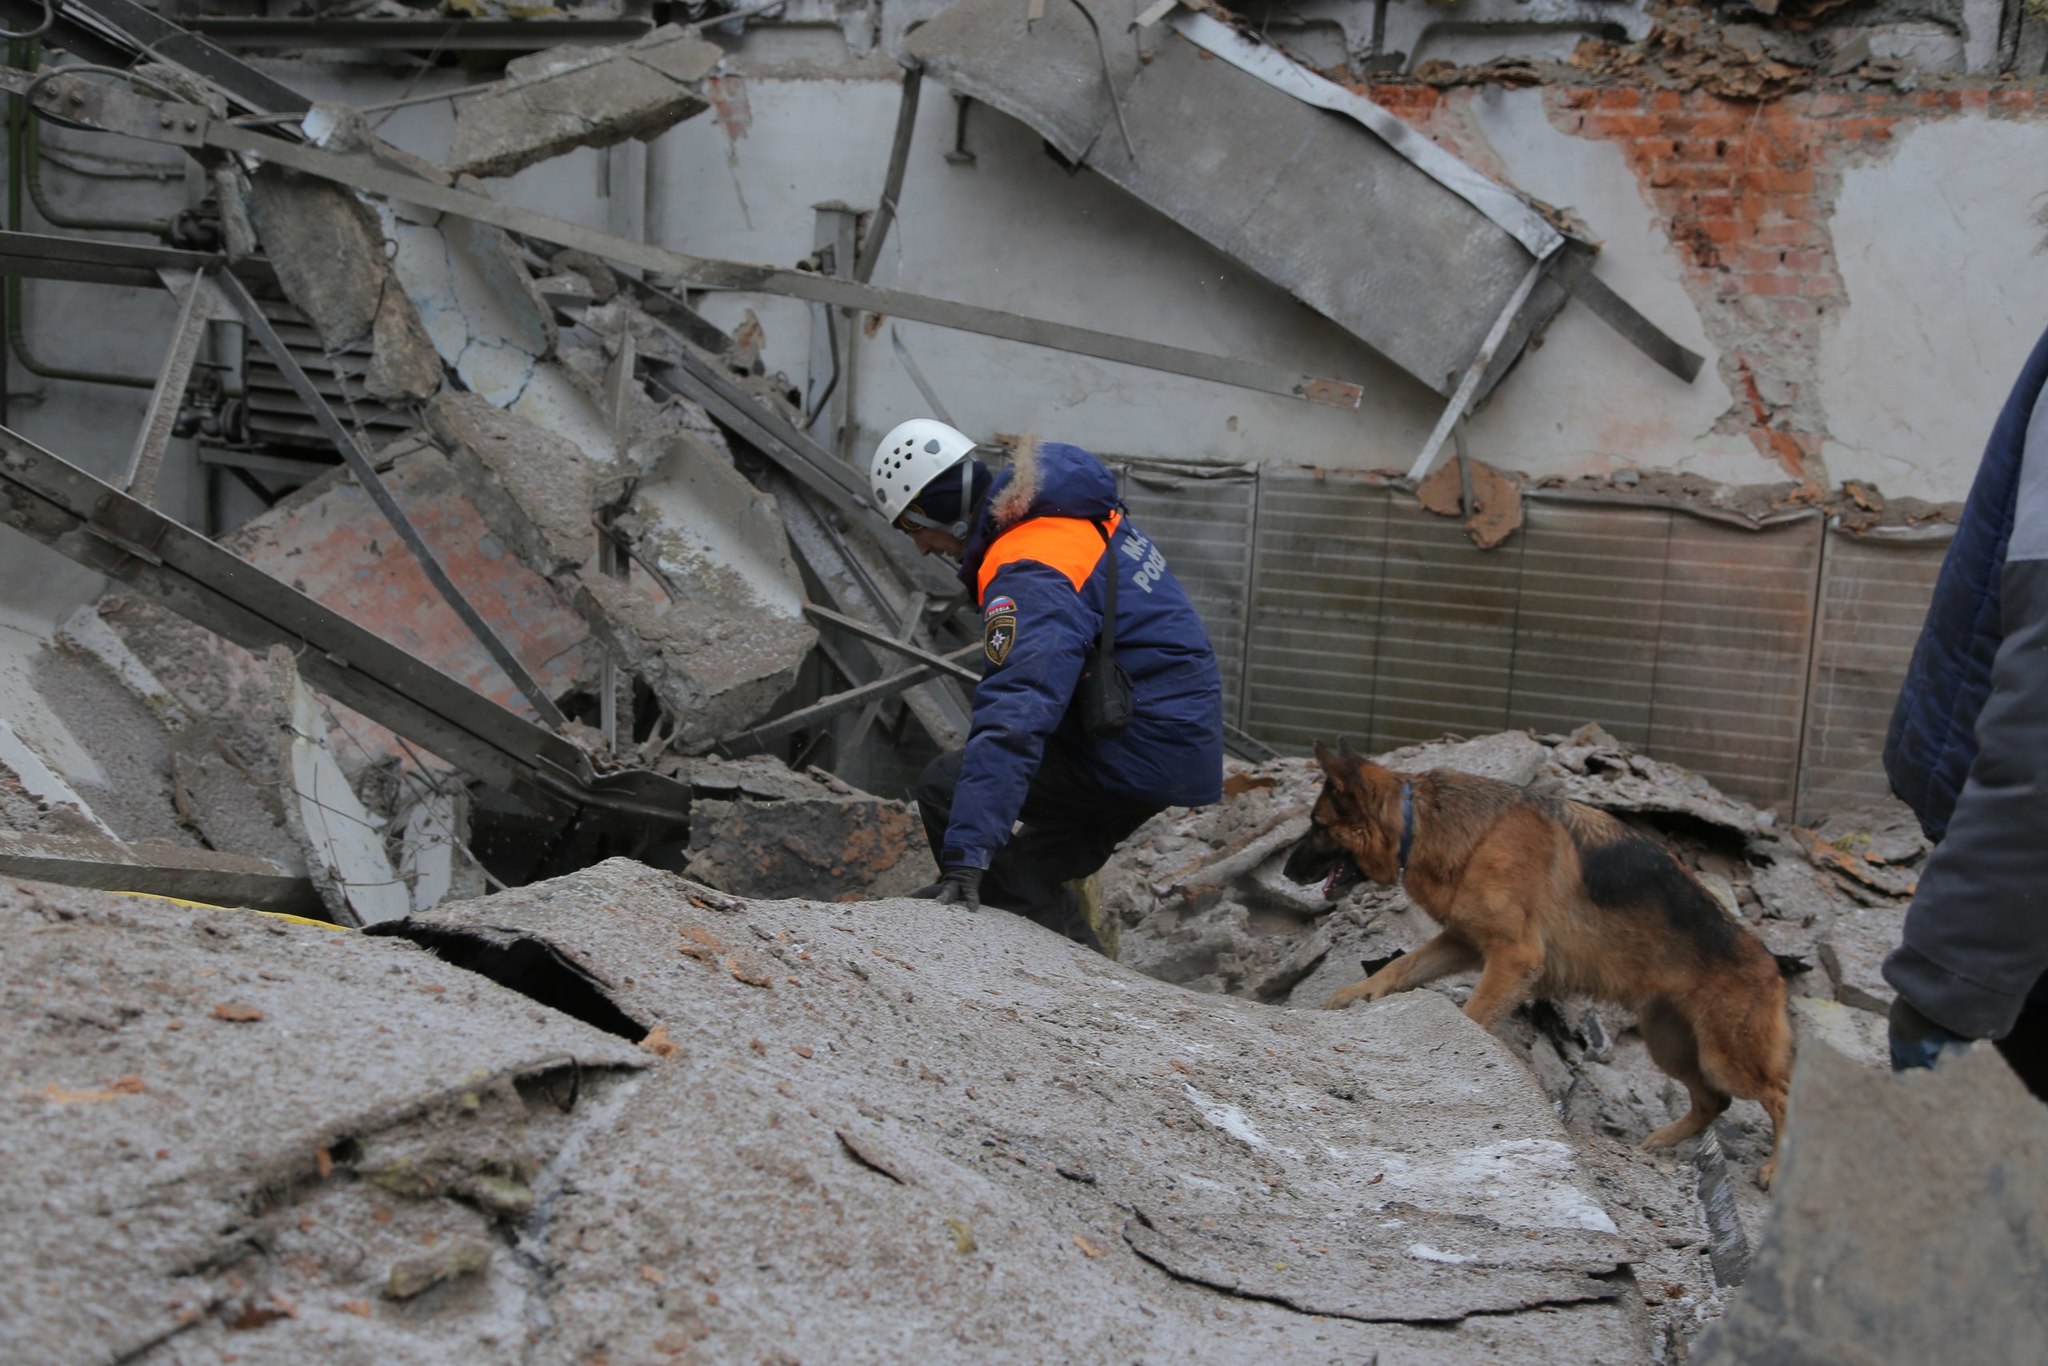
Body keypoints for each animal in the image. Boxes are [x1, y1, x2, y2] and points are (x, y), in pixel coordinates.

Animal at [1294, 737, 1794, 1187]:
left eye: (1317, 824)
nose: (1285, 870)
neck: (1418, 818)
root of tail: (1772, 966)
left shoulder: (1513, 959)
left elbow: (1473, 1015)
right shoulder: (1463, 941)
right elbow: (1401, 967)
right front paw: (1356, 993)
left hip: (1724, 1057)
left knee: (1779, 1093)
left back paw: (1775, 1168)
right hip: (1672, 1044)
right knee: (1714, 1102)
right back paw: (1660, 1142)